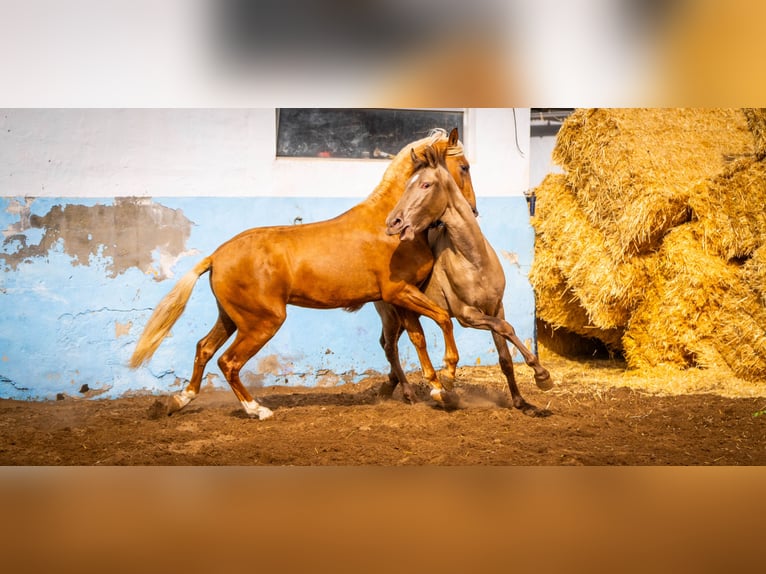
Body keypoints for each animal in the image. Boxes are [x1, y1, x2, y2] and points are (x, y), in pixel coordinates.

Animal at [130, 128, 476, 420]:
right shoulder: (399, 292)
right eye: (465, 167)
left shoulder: (401, 299)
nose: (473, 209)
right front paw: (447, 378)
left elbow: (415, 339)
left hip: (231, 317)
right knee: (228, 362)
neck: (392, 227)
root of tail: (216, 256)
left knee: (203, 348)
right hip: (262, 322)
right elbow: (442, 319)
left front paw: (432, 389)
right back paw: (257, 410)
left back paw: (178, 400)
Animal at [382, 144, 552, 414]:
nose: (393, 222)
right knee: (391, 347)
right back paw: (412, 391)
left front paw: (521, 401)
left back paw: (392, 386)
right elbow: (505, 328)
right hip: (393, 312)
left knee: (390, 346)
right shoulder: (467, 315)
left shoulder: (496, 307)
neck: (474, 260)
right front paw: (541, 375)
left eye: (425, 184)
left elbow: (505, 355)